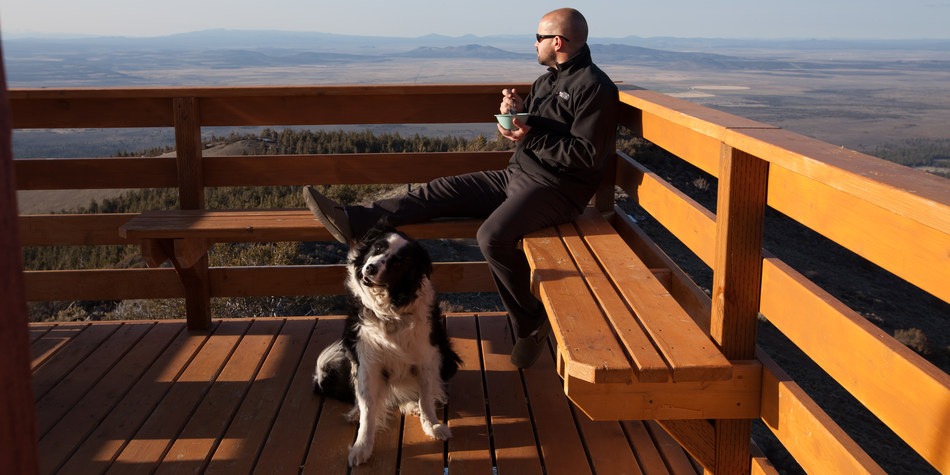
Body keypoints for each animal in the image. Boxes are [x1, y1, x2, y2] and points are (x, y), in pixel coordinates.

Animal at [314, 224, 462, 468]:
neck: (392, 312)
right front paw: (362, 446)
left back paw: (412, 405)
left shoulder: (427, 356)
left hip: (448, 358)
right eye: (377, 248)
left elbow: (426, 398)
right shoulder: (367, 362)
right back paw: (356, 412)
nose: (371, 267)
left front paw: (431, 425)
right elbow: (368, 407)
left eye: (399, 262)